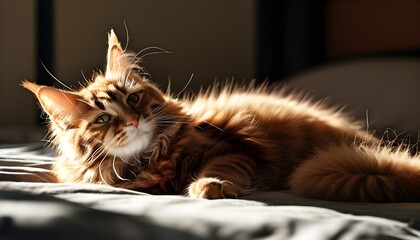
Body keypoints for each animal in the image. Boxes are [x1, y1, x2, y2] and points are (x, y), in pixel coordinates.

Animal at [23, 30, 420, 202]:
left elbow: (221, 169)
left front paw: (208, 187)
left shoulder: (234, 151)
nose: (133, 121)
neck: (151, 159)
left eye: (134, 99)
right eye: (103, 120)